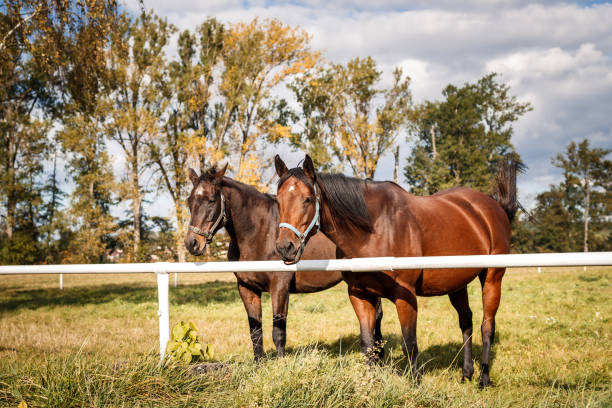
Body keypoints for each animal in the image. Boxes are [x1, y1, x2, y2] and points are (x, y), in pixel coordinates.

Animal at [183, 163, 382, 360]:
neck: (259, 232)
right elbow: (255, 331)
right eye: (189, 201)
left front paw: (281, 363)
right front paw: (259, 363)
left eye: (211, 200)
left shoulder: (279, 286)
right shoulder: (246, 288)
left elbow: (278, 332)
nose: (192, 243)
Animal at [274, 154, 524, 386]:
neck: (375, 230)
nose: (285, 247)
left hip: (492, 278)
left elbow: (409, 344)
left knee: (487, 326)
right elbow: (369, 345)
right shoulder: (360, 295)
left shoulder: (405, 296)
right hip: (457, 284)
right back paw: (466, 374)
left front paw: (415, 385)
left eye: (307, 199)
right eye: (278, 201)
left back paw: (483, 378)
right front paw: (370, 385)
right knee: (466, 322)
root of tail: (494, 207)